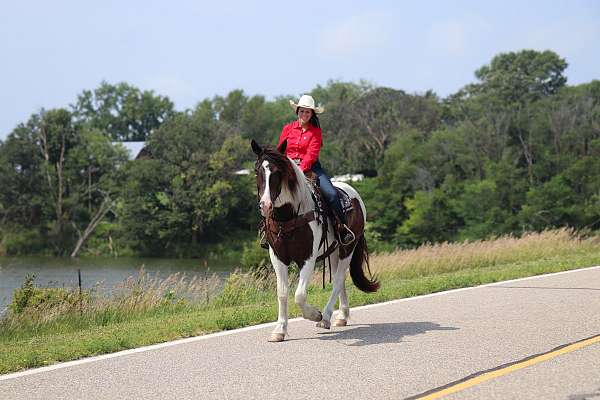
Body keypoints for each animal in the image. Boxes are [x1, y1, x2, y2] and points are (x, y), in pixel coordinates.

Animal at [251, 139, 378, 342]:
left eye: (277, 172)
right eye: (257, 171)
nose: (265, 205)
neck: (289, 217)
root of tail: (353, 193)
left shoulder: (307, 259)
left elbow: (300, 295)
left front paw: (315, 315)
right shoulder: (277, 258)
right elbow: (283, 293)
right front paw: (280, 330)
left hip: (347, 249)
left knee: (338, 281)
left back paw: (325, 317)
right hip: (334, 251)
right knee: (340, 280)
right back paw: (341, 317)